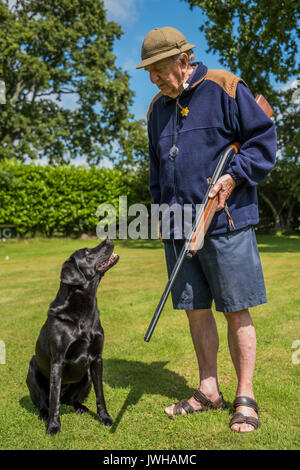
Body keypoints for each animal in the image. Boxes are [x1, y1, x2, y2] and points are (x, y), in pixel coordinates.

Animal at [25, 237, 119, 436]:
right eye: (87, 252)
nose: (109, 238)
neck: (84, 309)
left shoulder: (97, 359)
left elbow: (100, 393)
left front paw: (104, 417)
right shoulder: (57, 361)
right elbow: (53, 400)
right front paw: (53, 426)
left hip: (86, 376)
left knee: (71, 400)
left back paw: (80, 407)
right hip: (32, 368)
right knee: (45, 401)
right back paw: (44, 414)